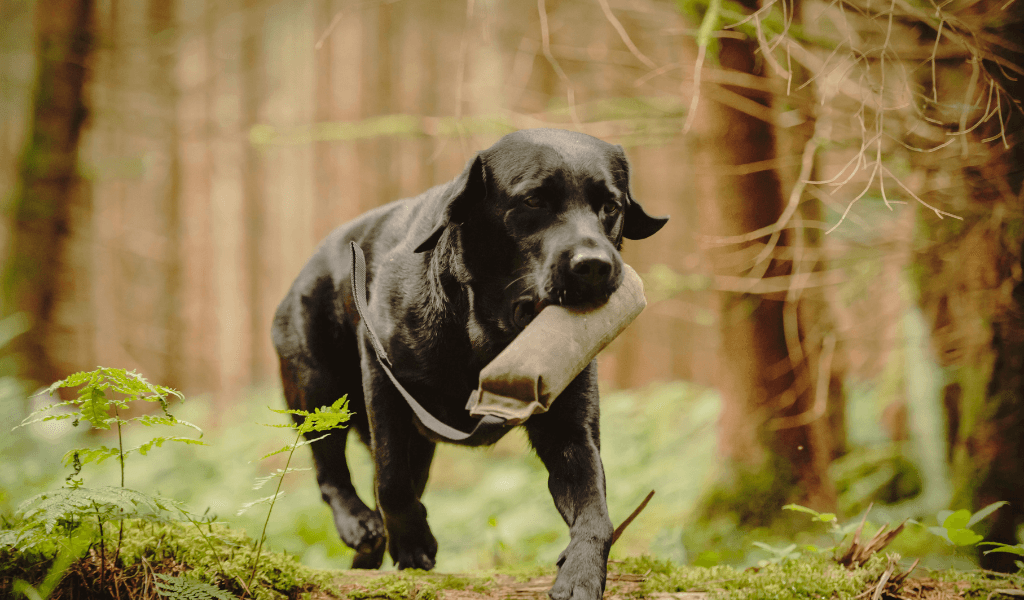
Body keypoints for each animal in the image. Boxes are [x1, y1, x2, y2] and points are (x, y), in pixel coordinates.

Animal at [272, 127, 667, 597]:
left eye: (611, 206)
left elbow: (595, 507)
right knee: (331, 470)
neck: (488, 336)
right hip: (318, 391)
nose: (594, 266)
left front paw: (581, 573)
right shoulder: (383, 382)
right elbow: (390, 479)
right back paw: (359, 525)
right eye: (534, 201)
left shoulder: (570, 430)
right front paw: (413, 542)